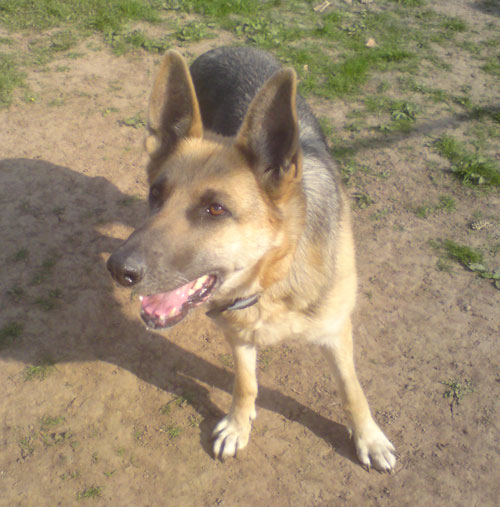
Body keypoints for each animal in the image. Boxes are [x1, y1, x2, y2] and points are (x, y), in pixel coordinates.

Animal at [107, 47, 396, 472]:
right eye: (156, 194)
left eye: (215, 209)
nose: (117, 269)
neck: (274, 278)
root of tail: (227, 47)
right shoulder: (238, 334)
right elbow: (245, 384)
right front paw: (238, 424)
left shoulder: (336, 331)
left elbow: (351, 389)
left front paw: (368, 437)